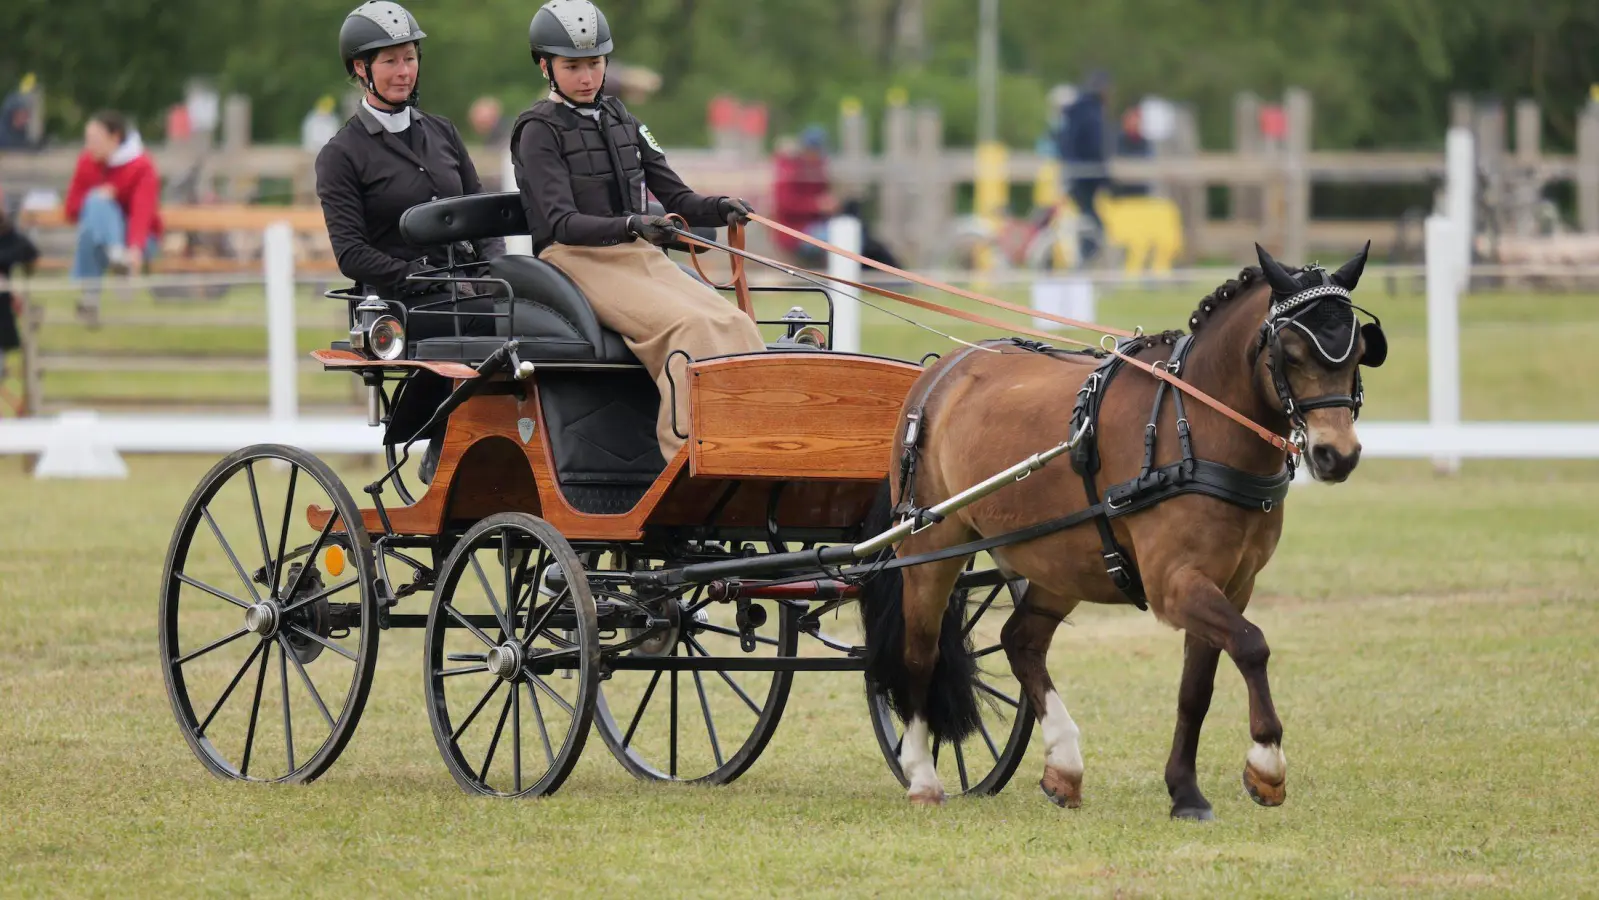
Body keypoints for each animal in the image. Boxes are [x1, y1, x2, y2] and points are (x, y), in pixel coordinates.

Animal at [863, 242, 1387, 818]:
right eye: (1290, 354)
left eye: (1360, 353)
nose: (1337, 455)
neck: (1196, 426)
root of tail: (941, 373)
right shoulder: (1174, 583)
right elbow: (1252, 645)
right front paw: (1266, 764)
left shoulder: (1230, 584)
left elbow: (1196, 689)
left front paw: (1185, 791)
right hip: (931, 545)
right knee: (920, 653)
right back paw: (922, 775)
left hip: (1057, 561)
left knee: (1019, 640)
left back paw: (1064, 765)